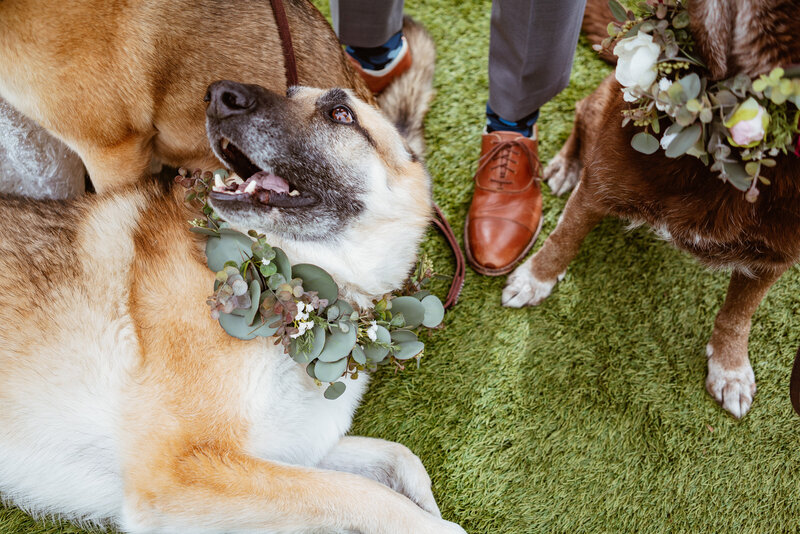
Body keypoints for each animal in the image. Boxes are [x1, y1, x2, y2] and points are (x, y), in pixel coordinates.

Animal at [504, 0, 800, 420]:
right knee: (581, 110)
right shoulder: (598, 185)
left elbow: (738, 315)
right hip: (603, 103)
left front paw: (730, 368)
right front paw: (534, 280)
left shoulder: (774, 258)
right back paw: (565, 165)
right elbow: (563, 239)